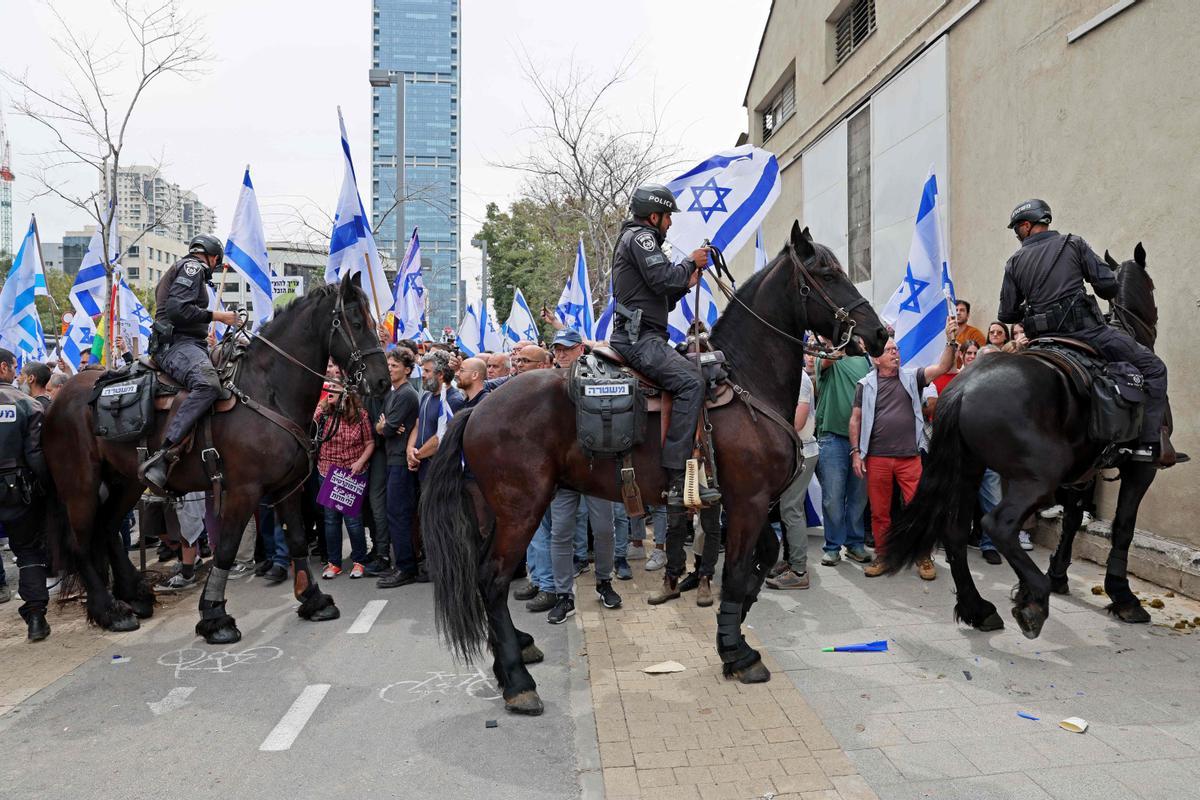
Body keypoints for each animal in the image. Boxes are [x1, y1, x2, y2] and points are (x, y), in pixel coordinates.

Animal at [42, 275, 386, 642]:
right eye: (356, 321)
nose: (381, 380)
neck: (269, 391)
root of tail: (60, 399)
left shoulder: (287, 488)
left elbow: (293, 539)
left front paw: (313, 599)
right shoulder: (244, 490)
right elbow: (227, 547)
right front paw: (215, 616)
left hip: (126, 482)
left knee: (106, 529)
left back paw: (134, 596)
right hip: (80, 486)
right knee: (82, 543)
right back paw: (110, 611)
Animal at [422, 221, 892, 714]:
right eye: (826, 273)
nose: (880, 334)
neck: (746, 380)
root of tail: (478, 407)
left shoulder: (752, 503)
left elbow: (760, 561)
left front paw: (735, 634)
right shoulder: (748, 501)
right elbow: (738, 571)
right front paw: (737, 653)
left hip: (495, 511)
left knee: (485, 577)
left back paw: (511, 656)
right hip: (520, 509)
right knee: (492, 580)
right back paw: (517, 681)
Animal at [883, 244, 1171, 638]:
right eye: (1153, 287)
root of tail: (962, 389)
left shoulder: (1082, 472)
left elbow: (1072, 520)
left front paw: (1060, 574)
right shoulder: (1141, 468)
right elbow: (1123, 528)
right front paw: (1123, 597)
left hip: (970, 469)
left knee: (955, 531)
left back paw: (979, 608)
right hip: (1036, 478)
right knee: (998, 525)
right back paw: (1033, 599)